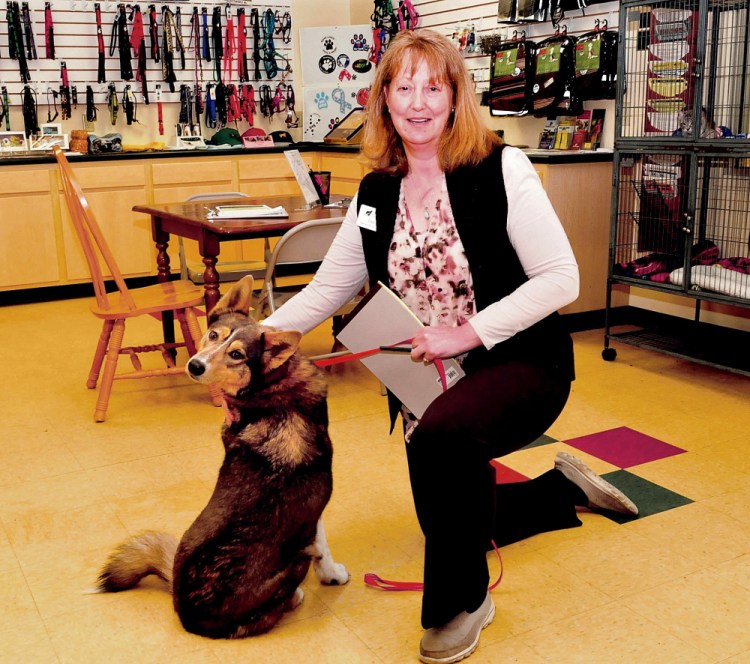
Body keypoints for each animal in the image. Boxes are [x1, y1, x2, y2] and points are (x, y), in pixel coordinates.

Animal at [95, 276, 352, 640]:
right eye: (214, 335)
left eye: (237, 354)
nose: (195, 364)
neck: (270, 388)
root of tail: (188, 615)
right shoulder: (313, 509)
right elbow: (323, 546)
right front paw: (333, 575)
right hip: (295, 561)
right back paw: (297, 596)